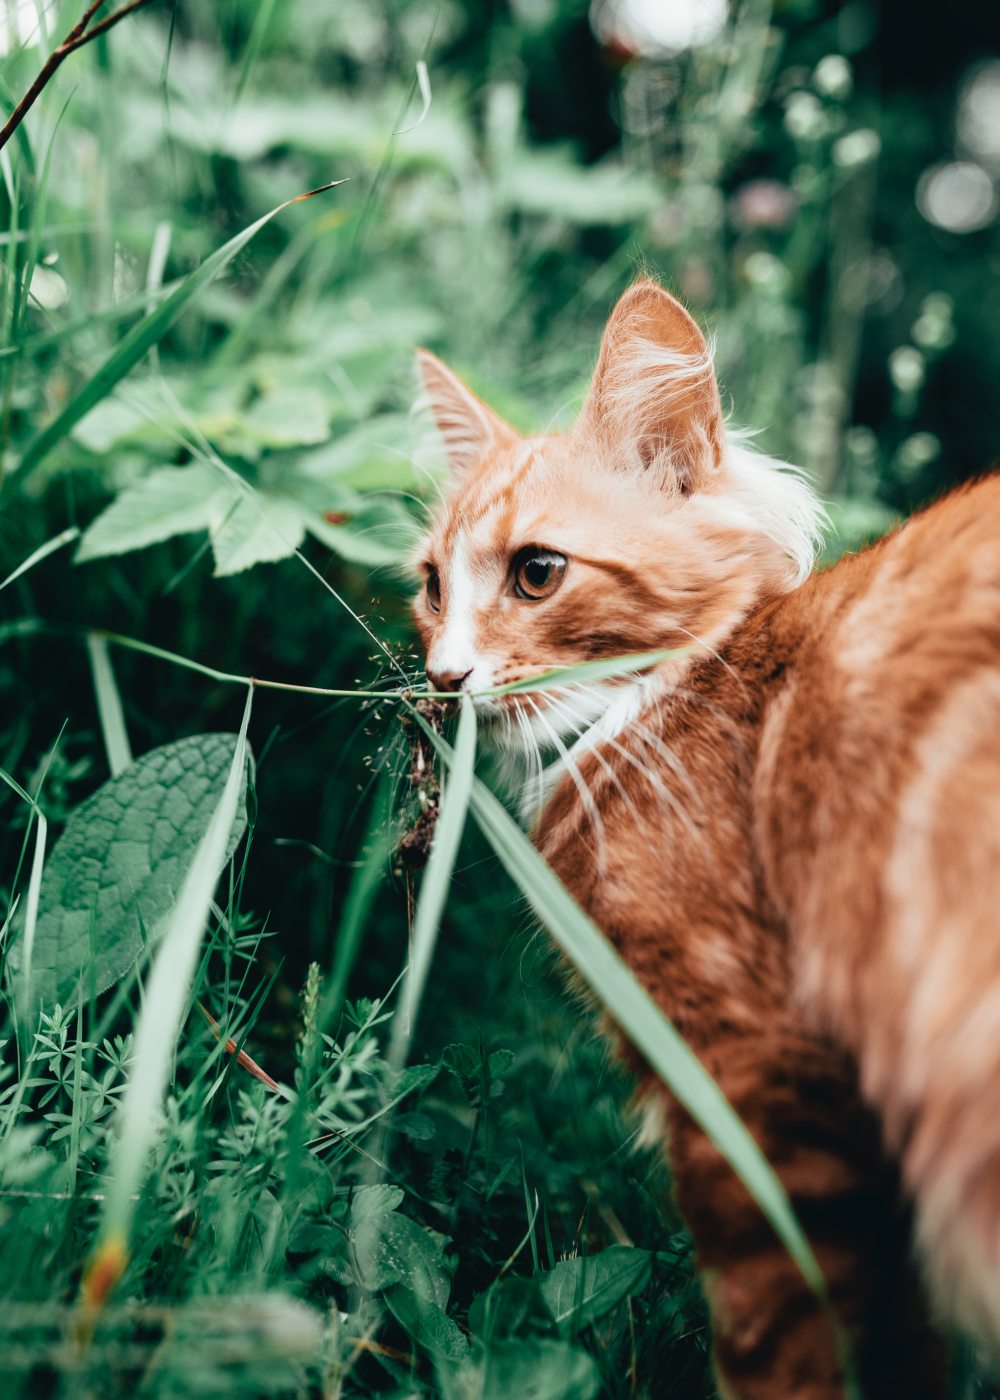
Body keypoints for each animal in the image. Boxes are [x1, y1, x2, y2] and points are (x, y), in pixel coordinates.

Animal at [408, 278, 991, 1394]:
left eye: (536, 572)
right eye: (431, 587)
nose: (443, 676)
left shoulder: (753, 1069)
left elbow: (775, 1340)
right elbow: (903, 1343)